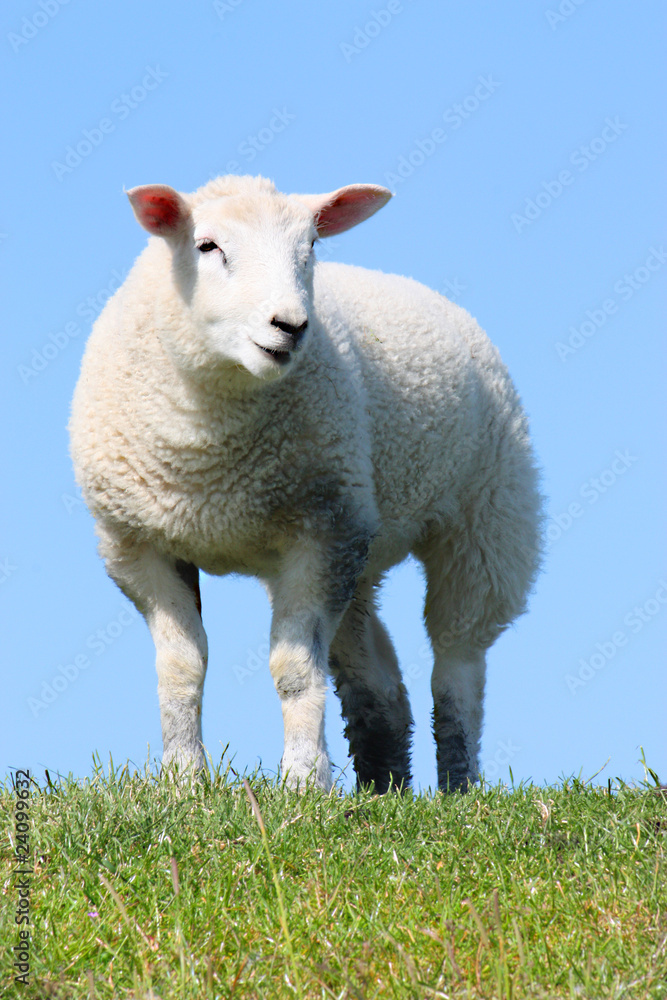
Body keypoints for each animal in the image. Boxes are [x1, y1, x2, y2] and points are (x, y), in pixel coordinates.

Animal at [69, 173, 542, 793]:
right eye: (207, 246)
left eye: (311, 247)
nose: (290, 327)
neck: (208, 459)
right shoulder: (138, 545)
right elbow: (181, 669)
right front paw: (183, 782)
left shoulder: (320, 534)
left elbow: (293, 669)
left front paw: (301, 782)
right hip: (362, 544)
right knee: (378, 677)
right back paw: (384, 788)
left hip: (486, 518)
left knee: (458, 662)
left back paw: (457, 786)